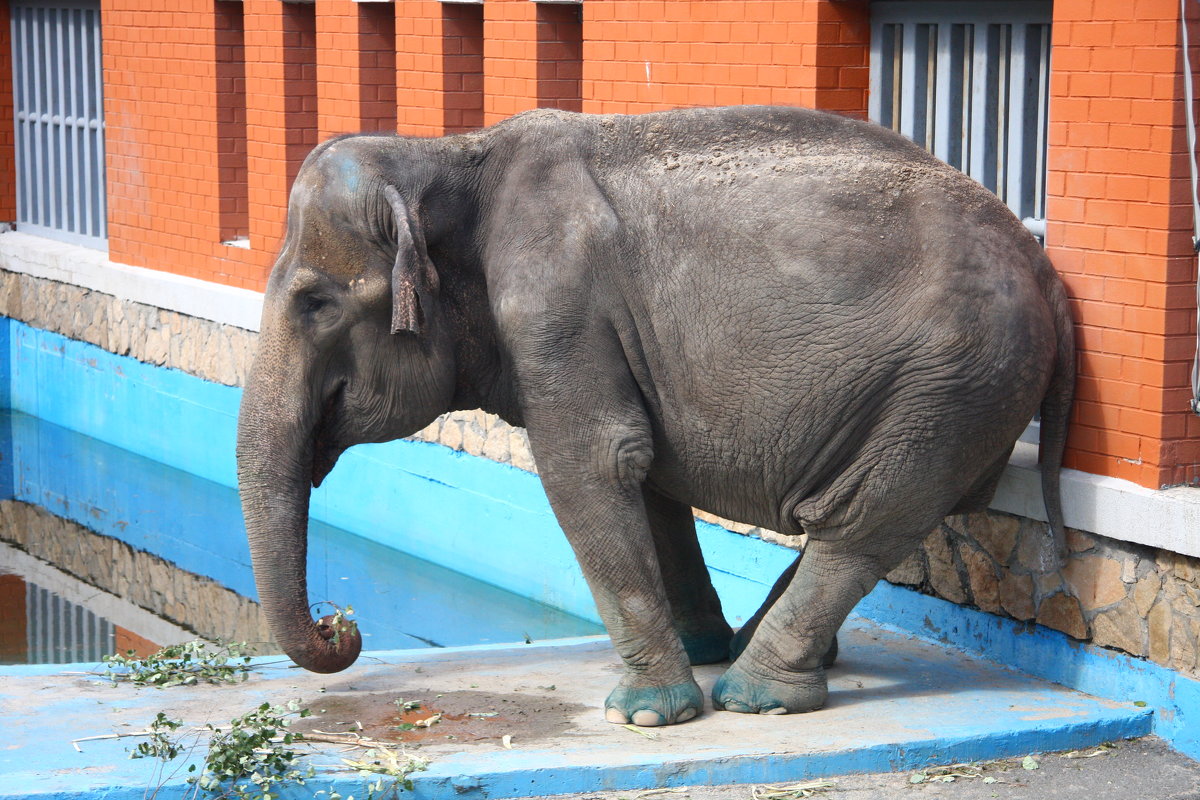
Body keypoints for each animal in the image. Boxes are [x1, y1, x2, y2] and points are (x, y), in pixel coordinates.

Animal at [236, 107, 1080, 734]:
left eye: (316, 304)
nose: (343, 625)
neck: (449, 152)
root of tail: (1043, 268)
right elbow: (644, 480)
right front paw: (693, 655)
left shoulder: (559, 308)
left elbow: (593, 462)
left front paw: (648, 716)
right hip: (954, 388)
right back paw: (746, 656)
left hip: (952, 381)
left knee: (863, 517)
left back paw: (756, 694)